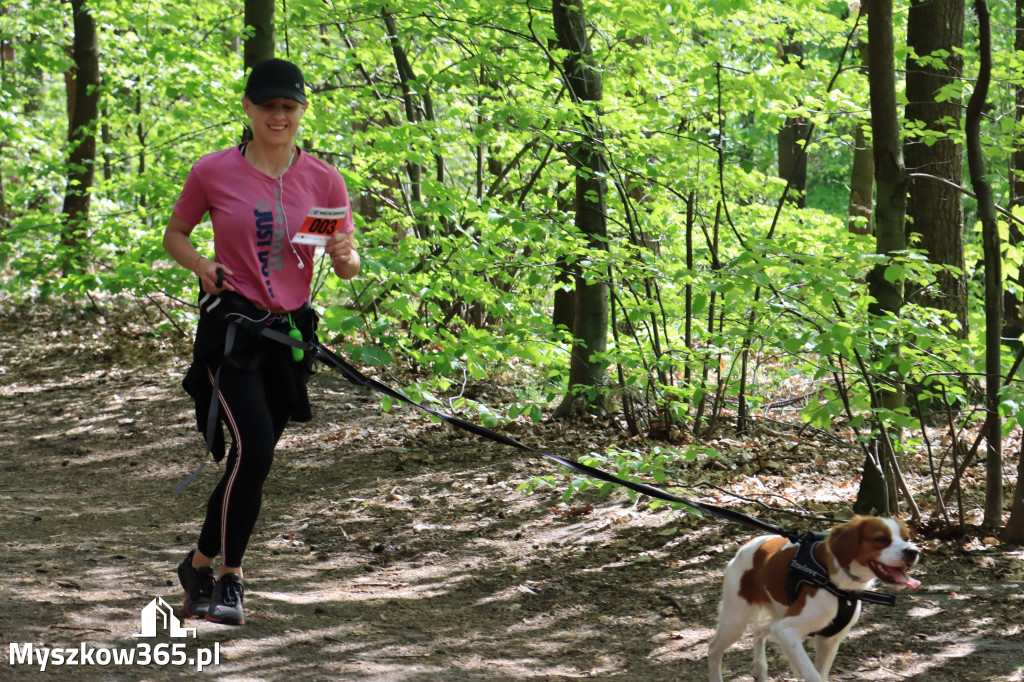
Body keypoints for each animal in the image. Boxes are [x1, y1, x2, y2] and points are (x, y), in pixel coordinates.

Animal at [712, 516, 921, 679]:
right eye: (881, 539)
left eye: (907, 538)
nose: (914, 551)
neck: (838, 585)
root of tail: (748, 545)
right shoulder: (787, 630)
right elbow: (813, 675)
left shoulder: (829, 640)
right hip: (735, 620)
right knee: (713, 648)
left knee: (759, 630)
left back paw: (760, 669)